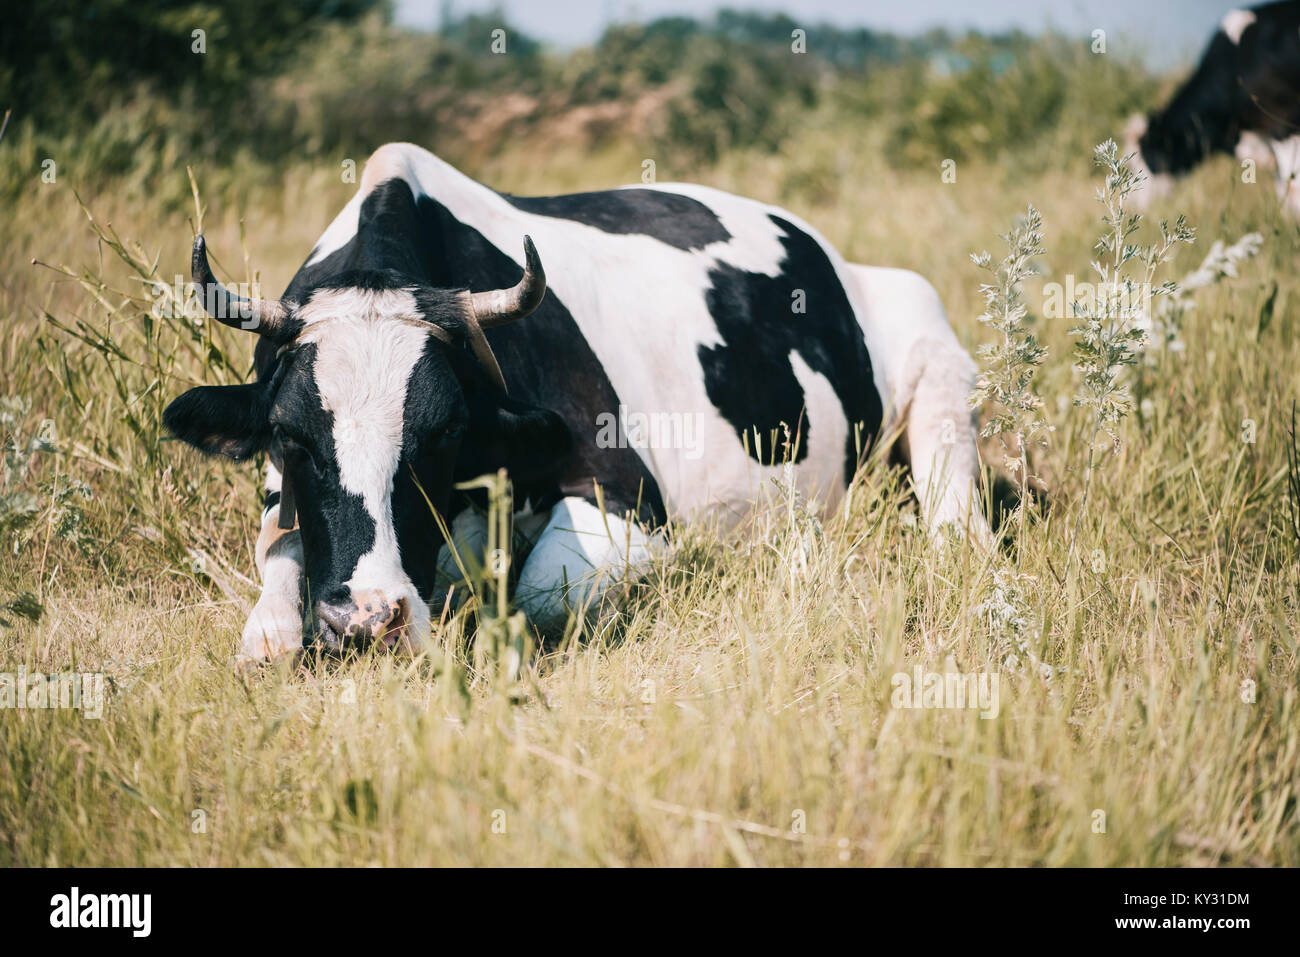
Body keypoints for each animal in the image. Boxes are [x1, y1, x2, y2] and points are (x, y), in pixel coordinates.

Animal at [164, 142, 990, 663]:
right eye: (289, 435)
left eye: (444, 431)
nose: (369, 621)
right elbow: (271, 600)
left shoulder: (630, 502)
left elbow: (536, 598)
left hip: (934, 349)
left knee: (956, 521)